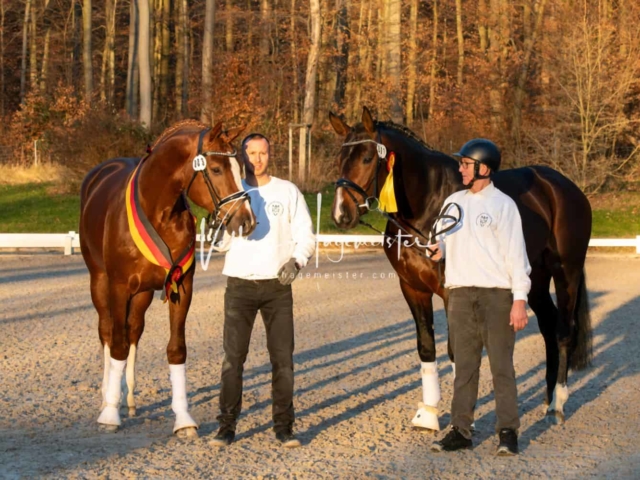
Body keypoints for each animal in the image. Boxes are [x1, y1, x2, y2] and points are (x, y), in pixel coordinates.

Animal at [81, 120, 256, 436]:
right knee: (108, 333)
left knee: (133, 330)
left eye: (241, 168)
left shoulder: (181, 287)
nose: (246, 221)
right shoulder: (118, 287)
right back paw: (107, 398)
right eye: (216, 169)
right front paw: (110, 414)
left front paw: (183, 420)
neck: (157, 211)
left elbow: (176, 350)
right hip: (99, 283)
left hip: (142, 294)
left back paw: (129, 399)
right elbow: (117, 345)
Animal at [332, 108, 592, 432]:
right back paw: (548, 397)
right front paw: (428, 414)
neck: (427, 205)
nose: (341, 214)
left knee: (563, 331)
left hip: (566, 272)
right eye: (339, 159)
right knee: (547, 325)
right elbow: (426, 347)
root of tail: (563, 187)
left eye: (367, 158)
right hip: (534, 278)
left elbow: (458, 351)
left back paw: (557, 403)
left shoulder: (451, 291)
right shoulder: (412, 288)